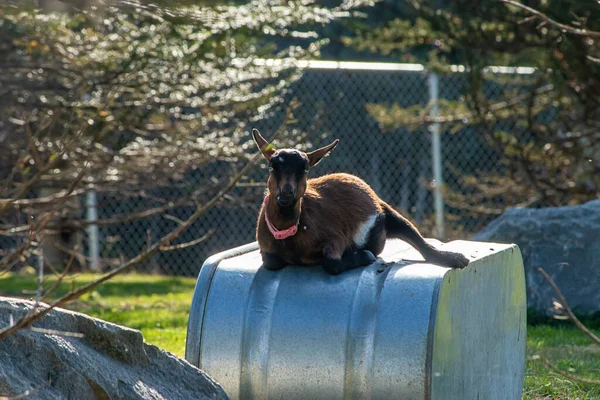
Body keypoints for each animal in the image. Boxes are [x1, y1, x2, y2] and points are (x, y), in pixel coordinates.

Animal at [251, 128, 472, 276]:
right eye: (272, 166)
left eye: (305, 168)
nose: (287, 193)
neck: (289, 236)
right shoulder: (266, 249)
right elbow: (271, 262)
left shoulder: (335, 237)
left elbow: (332, 263)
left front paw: (363, 255)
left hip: (387, 212)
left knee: (420, 242)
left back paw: (455, 258)